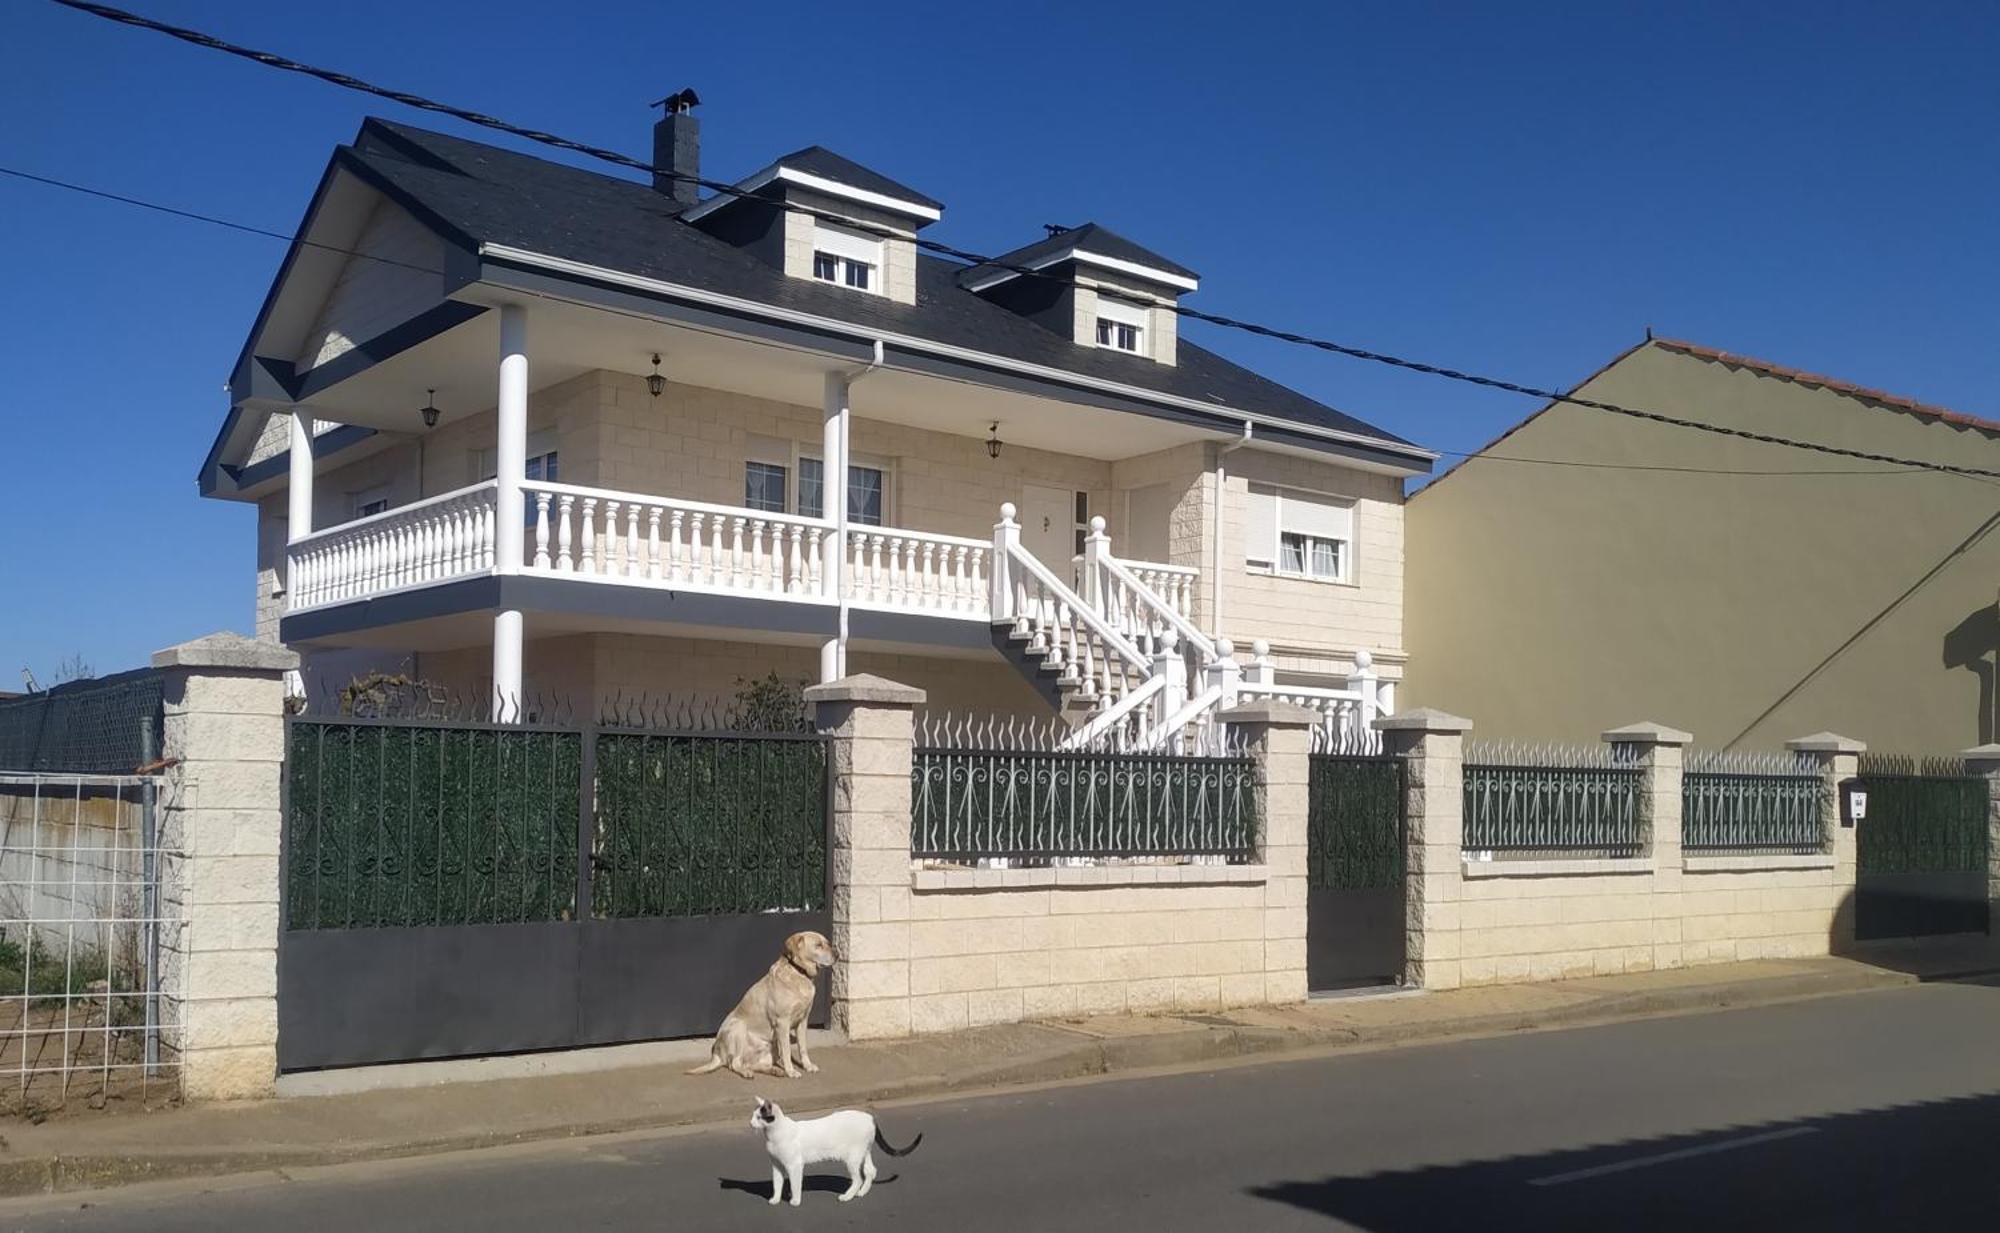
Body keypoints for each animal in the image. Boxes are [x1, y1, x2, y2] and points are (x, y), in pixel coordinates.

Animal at [684, 932, 832, 1080]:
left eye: (827, 943)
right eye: (818, 945)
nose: (836, 954)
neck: (799, 973)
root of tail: (717, 1054)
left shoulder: (803, 1020)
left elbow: (803, 1047)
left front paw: (808, 1066)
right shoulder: (782, 1022)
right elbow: (787, 1051)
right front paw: (791, 1071)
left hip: (769, 1048)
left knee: (755, 1064)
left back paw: (774, 1070)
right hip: (738, 1027)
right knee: (735, 1063)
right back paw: (747, 1072)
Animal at [752, 1096, 920, 1200]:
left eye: (759, 1117)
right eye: (753, 1116)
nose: (751, 1123)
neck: (772, 1136)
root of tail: (869, 1117)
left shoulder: (795, 1165)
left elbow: (795, 1184)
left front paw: (795, 1200)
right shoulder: (776, 1165)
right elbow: (777, 1183)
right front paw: (775, 1199)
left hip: (852, 1158)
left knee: (858, 1179)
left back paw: (847, 1196)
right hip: (864, 1152)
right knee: (871, 1171)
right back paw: (861, 1193)